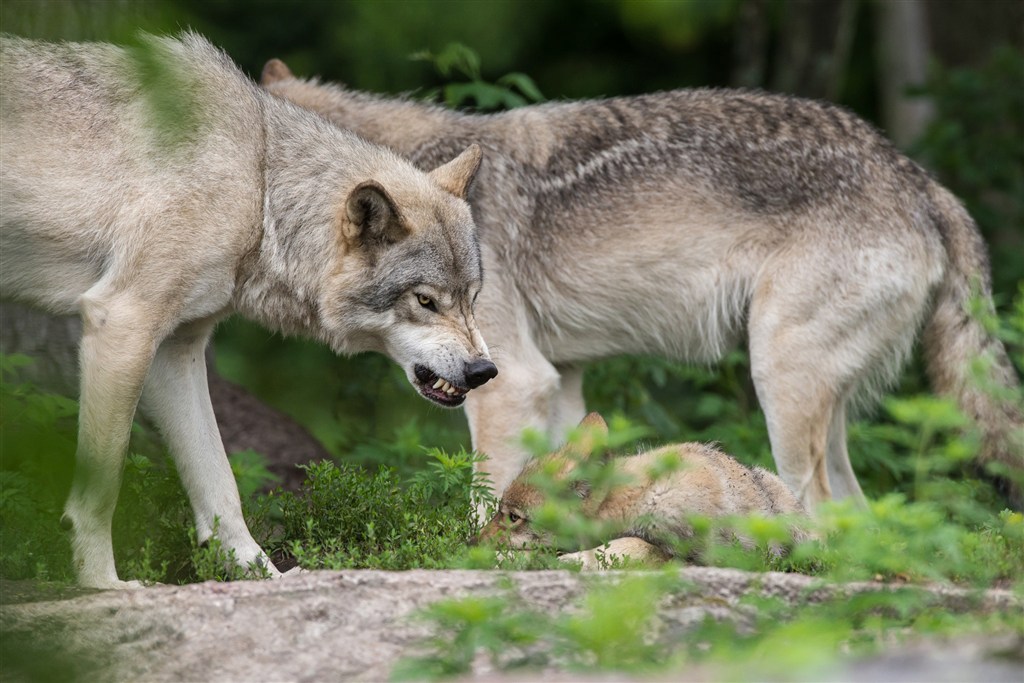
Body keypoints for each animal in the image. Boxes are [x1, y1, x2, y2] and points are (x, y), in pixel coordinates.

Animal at [0, 33, 495, 589]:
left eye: (472, 298)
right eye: (425, 300)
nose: (484, 370)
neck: (257, 187)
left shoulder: (175, 350)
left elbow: (221, 485)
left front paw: (263, 576)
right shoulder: (123, 322)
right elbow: (102, 489)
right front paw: (103, 586)